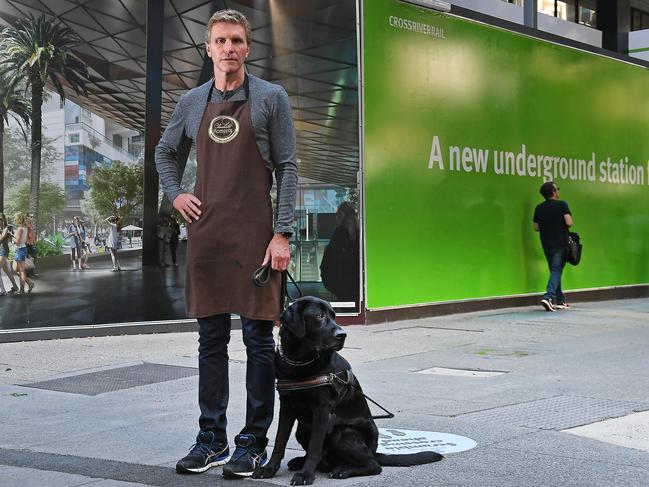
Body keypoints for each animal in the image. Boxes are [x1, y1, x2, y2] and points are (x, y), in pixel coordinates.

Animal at [252, 298, 440, 484]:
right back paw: (302, 461)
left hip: (342, 434)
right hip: (302, 429)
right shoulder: (287, 405)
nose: (342, 335)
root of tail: (374, 451)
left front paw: (306, 475)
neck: (301, 360)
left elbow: (314, 447)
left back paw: (343, 470)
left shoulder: (322, 409)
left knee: (373, 465)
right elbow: (280, 441)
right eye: (319, 316)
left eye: (334, 316)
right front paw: (269, 469)